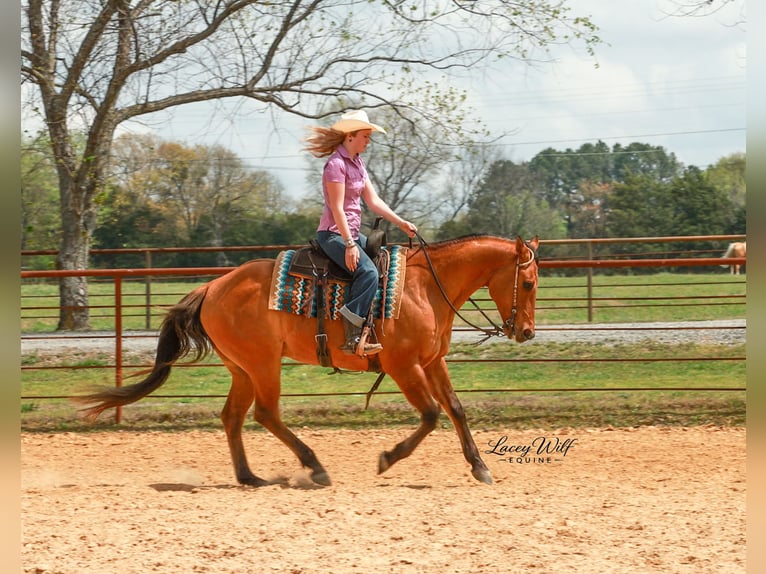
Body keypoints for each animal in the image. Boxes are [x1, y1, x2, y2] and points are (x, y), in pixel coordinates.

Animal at [76, 235, 539, 487]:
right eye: (531, 282)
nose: (527, 332)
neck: (424, 288)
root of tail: (212, 286)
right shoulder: (404, 367)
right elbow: (430, 415)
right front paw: (387, 459)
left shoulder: (432, 362)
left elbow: (456, 409)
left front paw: (480, 467)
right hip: (263, 364)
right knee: (265, 413)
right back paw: (314, 468)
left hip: (242, 367)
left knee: (233, 416)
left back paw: (249, 476)